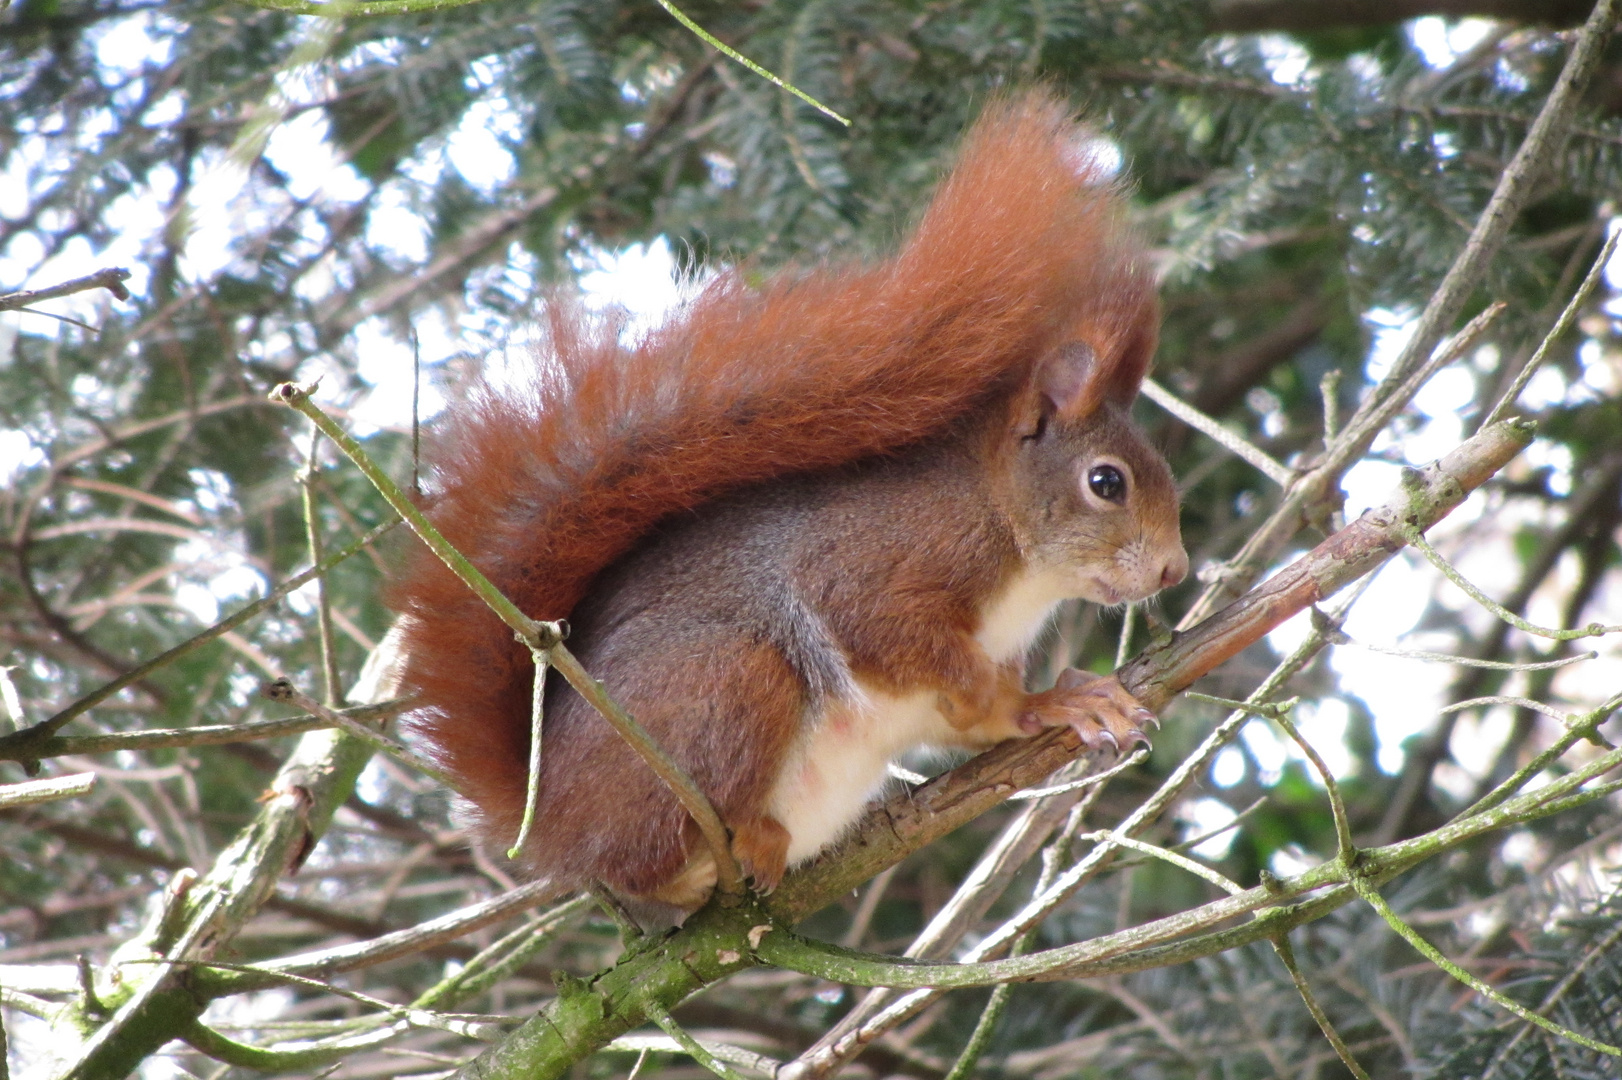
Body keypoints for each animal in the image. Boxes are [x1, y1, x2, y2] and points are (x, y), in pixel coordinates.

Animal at [386, 96, 1187, 914]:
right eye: (1106, 483)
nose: (1175, 571)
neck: (1013, 546)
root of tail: (554, 827)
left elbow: (983, 720)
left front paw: (1065, 698)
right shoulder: (887, 564)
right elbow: (900, 638)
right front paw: (1031, 696)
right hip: (732, 680)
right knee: (651, 853)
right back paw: (745, 834)